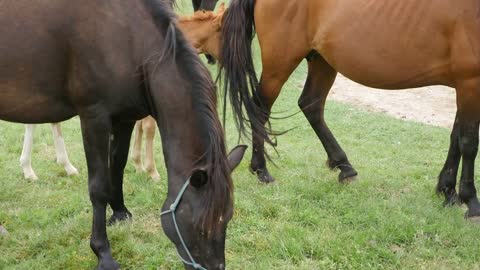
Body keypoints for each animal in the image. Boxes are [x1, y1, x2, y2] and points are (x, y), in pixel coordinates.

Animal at [0, 1, 248, 268]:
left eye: (227, 217)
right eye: (201, 226)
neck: (129, 38)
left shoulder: (125, 119)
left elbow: (117, 165)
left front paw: (119, 212)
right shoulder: (94, 118)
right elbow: (98, 186)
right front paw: (102, 251)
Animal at [182, 0, 480, 219]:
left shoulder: (464, 84)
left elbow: (456, 138)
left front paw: (448, 192)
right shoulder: (470, 82)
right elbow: (468, 142)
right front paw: (470, 201)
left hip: (321, 60)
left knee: (311, 105)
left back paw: (344, 166)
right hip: (281, 62)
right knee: (261, 109)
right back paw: (262, 170)